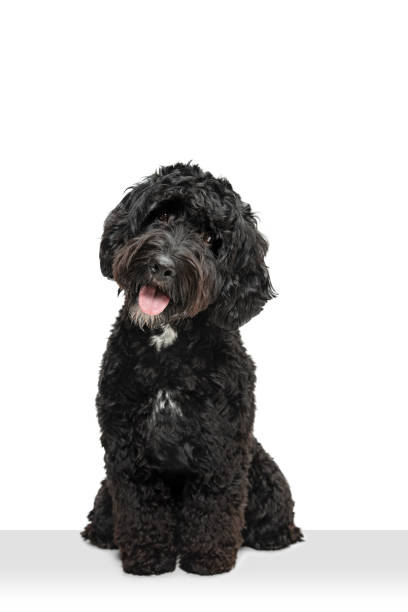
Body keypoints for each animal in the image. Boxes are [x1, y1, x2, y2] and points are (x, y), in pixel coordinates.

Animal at [81, 163, 302, 572]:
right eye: (164, 215)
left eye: (209, 237)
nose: (162, 266)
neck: (168, 343)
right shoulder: (126, 445)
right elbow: (140, 505)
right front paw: (148, 556)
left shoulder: (222, 442)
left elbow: (215, 501)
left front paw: (207, 557)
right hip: (105, 493)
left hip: (263, 470)